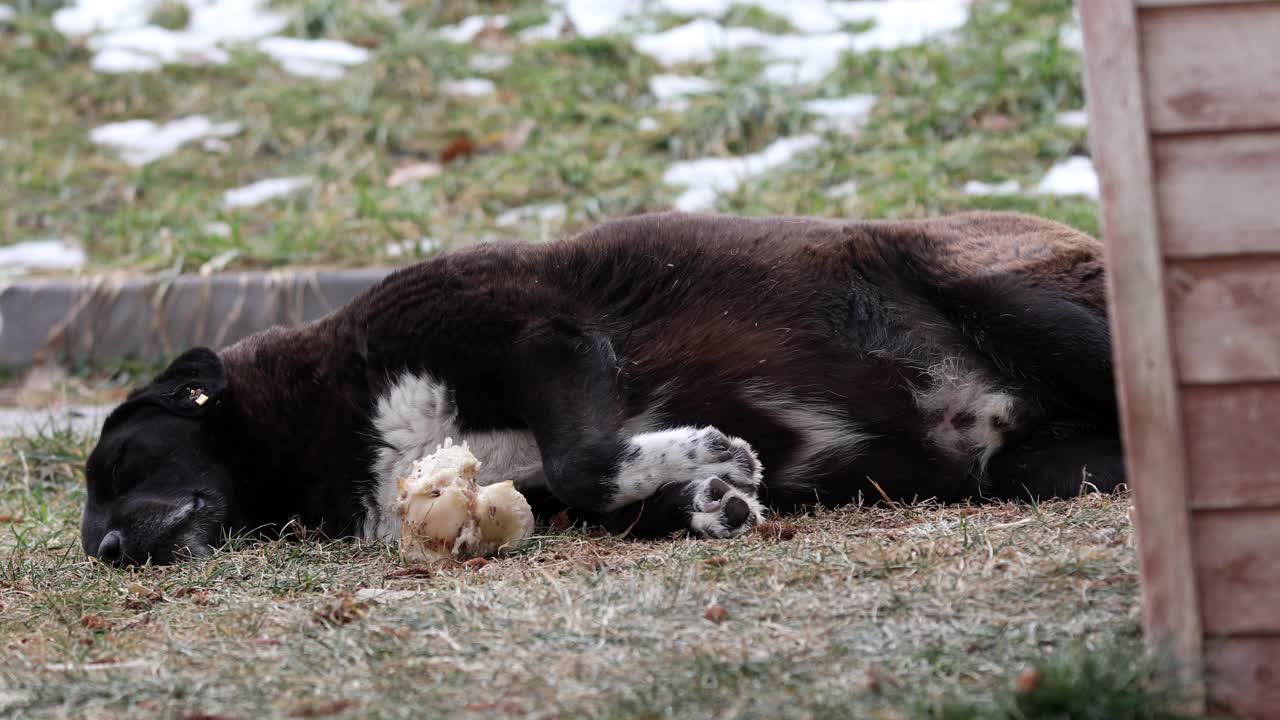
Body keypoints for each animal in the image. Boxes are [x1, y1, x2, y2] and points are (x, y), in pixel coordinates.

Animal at [80, 210, 1126, 563]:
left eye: (120, 464)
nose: (107, 552)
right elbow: (607, 494)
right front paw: (711, 496)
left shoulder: (541, 334)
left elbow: (588, 460)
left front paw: (708, 451)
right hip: (1032, 465)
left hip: (1012, 301)